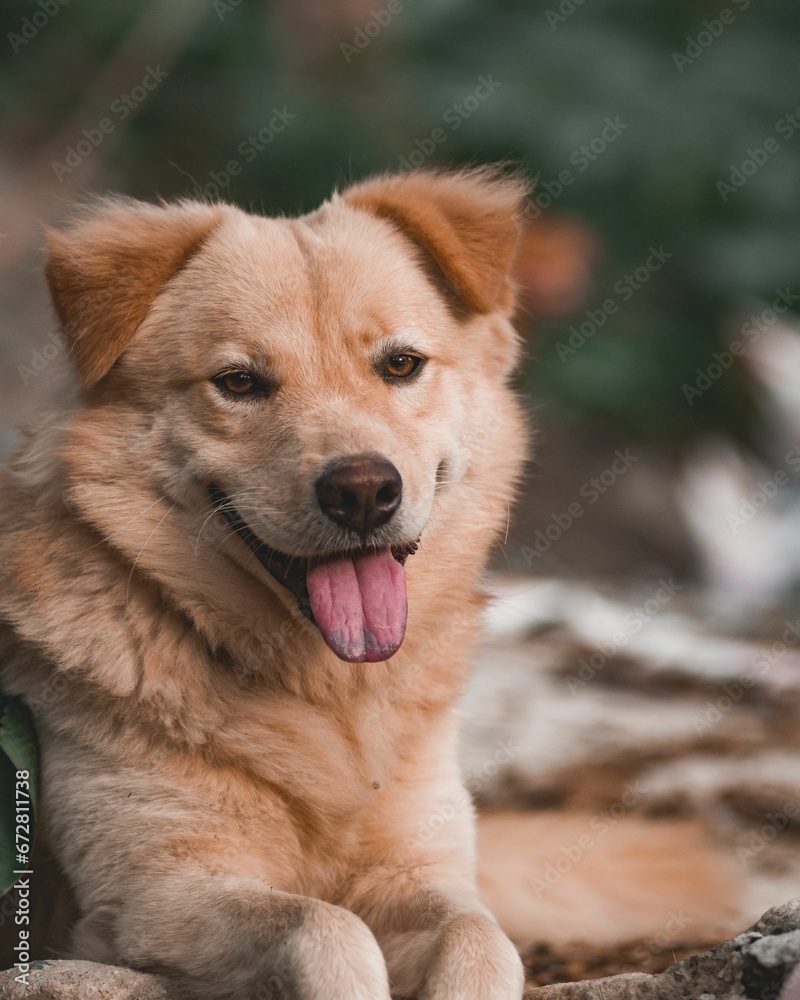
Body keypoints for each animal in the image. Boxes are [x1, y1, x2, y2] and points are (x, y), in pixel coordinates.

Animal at [0, 172, 536, 1000]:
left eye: (401, 365)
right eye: (240, 383)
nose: (362, 492)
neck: (328, 698)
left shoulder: (422, 870)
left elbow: (483, 940)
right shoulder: (149, 896)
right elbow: (326, 926)